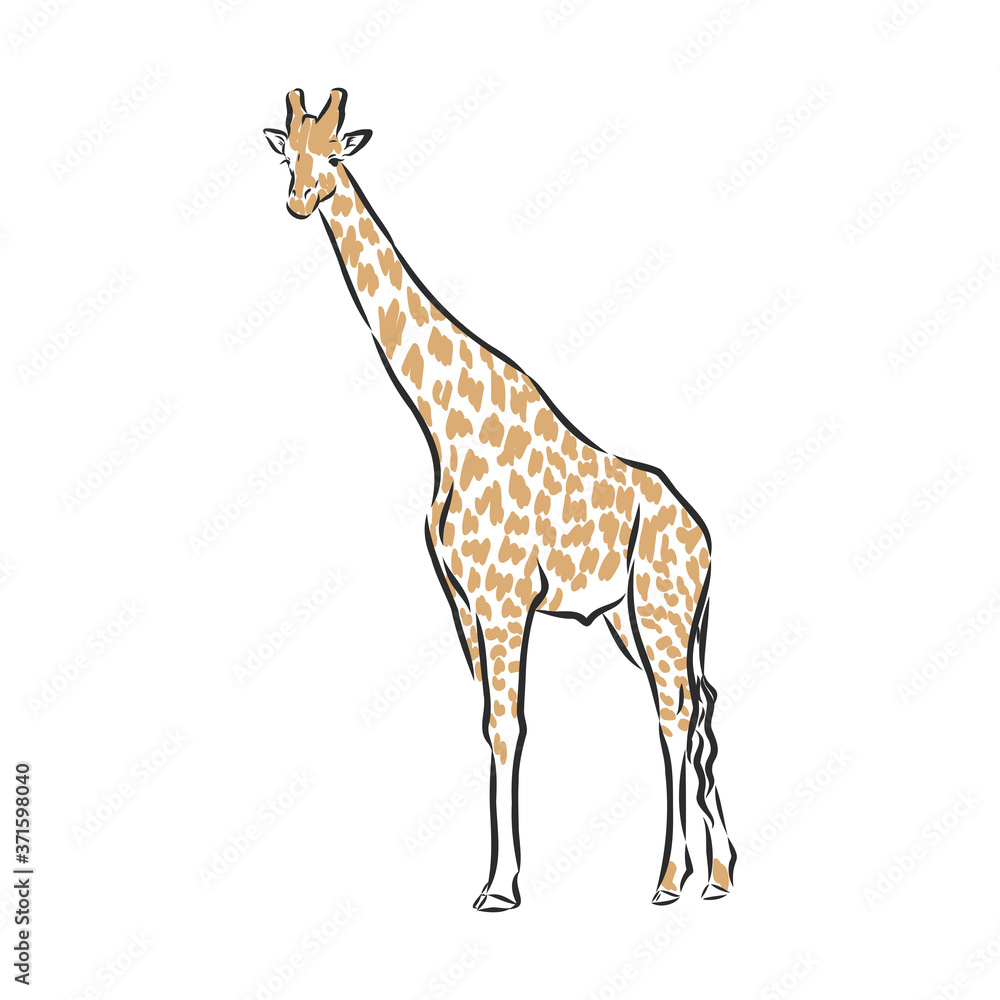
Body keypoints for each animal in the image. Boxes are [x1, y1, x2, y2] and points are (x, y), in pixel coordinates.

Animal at [264, 88, 736, 911]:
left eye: (333, 153)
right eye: (287, 152)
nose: (297, 199)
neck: (443, 424)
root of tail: (703, 532)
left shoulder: (505, 597)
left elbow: (511, 726)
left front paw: (502, 887)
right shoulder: (461, 601)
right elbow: (486, 724)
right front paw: (498, 876)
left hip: (663, 608)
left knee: (676, 715)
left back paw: (670, 879)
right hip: (634, 618)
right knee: (689, 710)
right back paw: (713, 875)